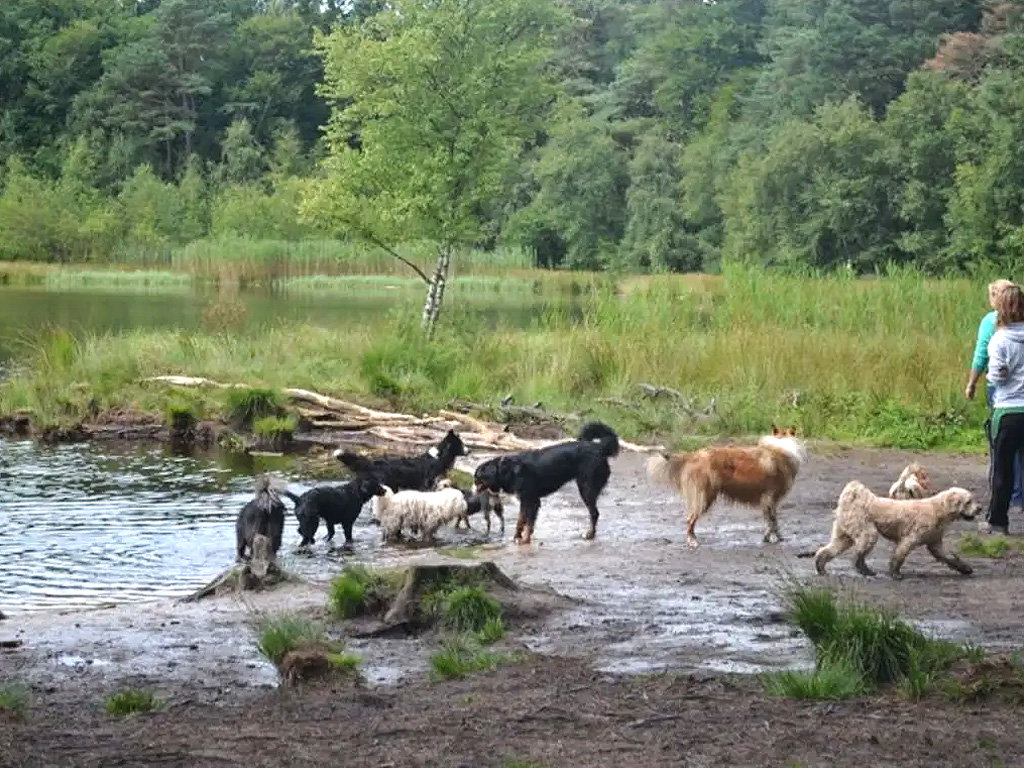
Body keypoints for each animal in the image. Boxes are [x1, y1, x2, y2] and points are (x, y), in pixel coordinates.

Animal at [468, 423, 614, 544]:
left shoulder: (531, 500)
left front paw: (525, 539)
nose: (473, 490)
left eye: (477, 479)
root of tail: (599, 447)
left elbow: (529, 523)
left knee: (594, 513)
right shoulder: (525, 500)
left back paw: (589, 534)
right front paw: (517, 536)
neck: (508, 470)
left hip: (586, 488)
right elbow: (520, 520)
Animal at [811, 483, 978, 581]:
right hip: (866, 530)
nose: (980, 508)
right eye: (968, 501)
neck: (938, 510)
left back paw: (821, 567)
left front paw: (965, 568)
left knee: (829, 549)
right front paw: (895, 573)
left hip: (845, 534)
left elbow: (948, 556)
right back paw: (864, 570)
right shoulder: (909, 539)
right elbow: (899, 556)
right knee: (858, 553)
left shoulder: (935, 543)